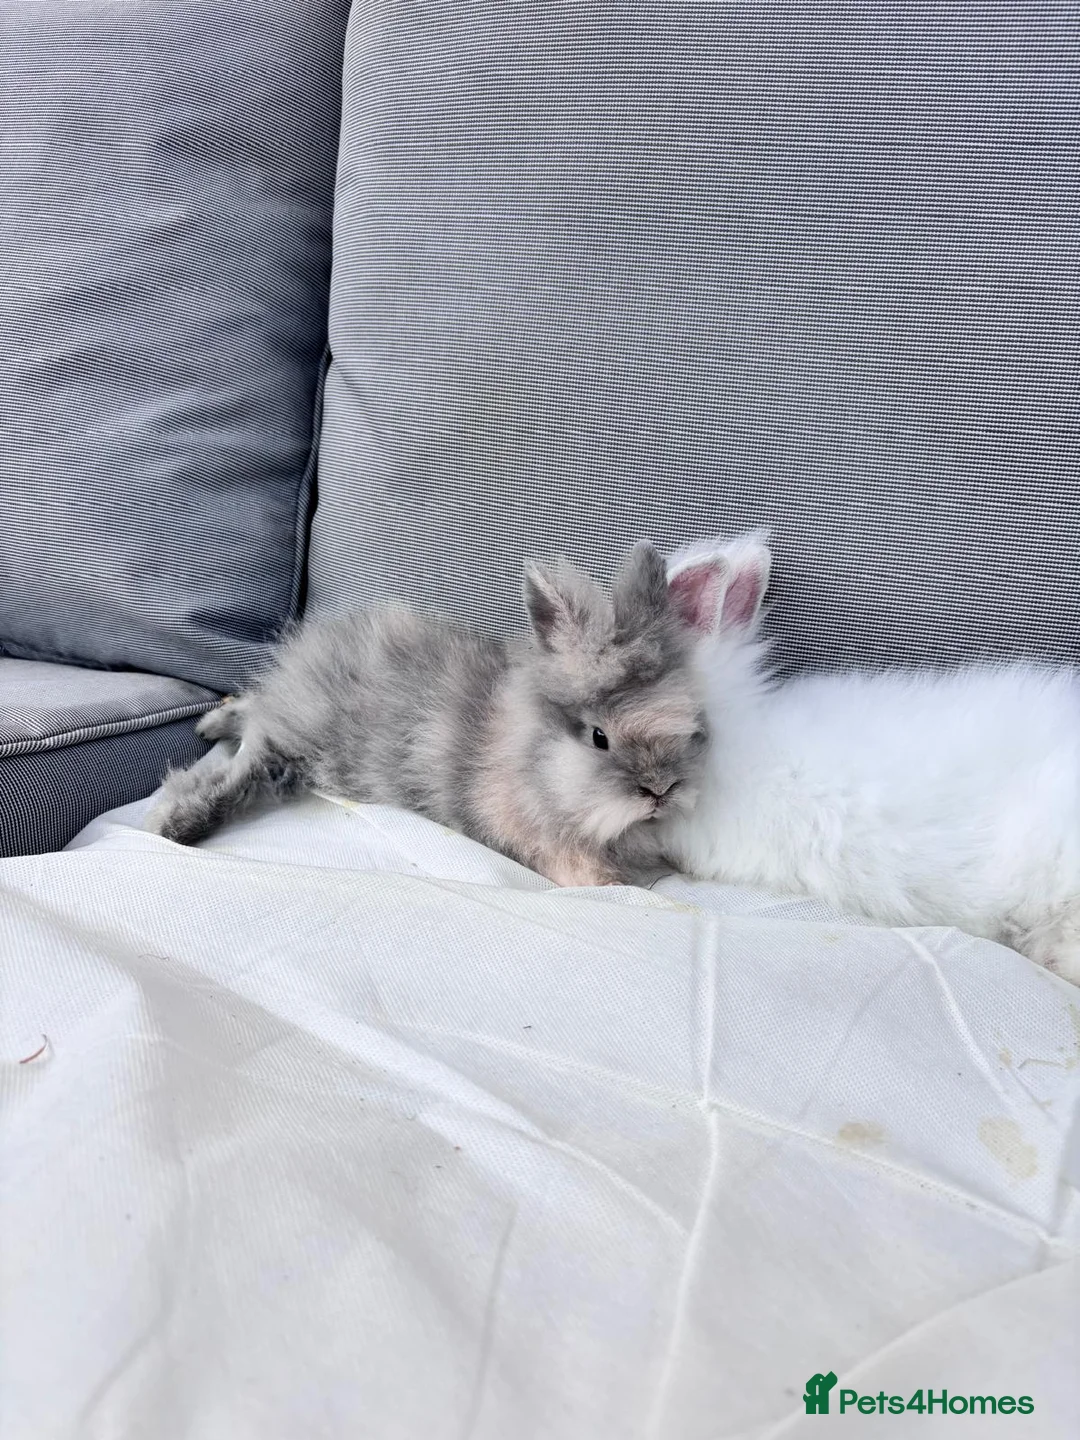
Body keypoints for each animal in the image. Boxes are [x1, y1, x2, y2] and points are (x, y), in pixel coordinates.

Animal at [146, 543, 716, 888]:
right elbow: (585, 872)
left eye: (691, 724)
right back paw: (174, 822)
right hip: (297, 739)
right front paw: (617, 882)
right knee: (246, 759)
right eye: (599, 736)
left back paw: (210, 724)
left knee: (255, 716)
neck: (527, 754)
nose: (660, 790)